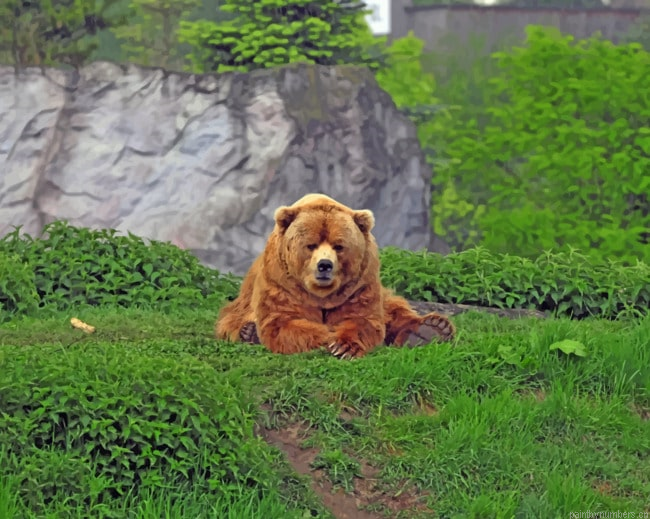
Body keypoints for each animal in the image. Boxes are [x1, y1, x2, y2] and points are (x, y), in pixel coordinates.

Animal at [215, 194, 455, 358]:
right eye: (310, 245)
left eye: (339, 246)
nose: (324, 265)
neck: (322, 295)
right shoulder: (281, 284)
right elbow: (284, 322)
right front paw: (327, 338)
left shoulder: (360, 286)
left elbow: (363, 320)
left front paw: (344, 346)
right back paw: (248, 332)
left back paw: (431, 329)